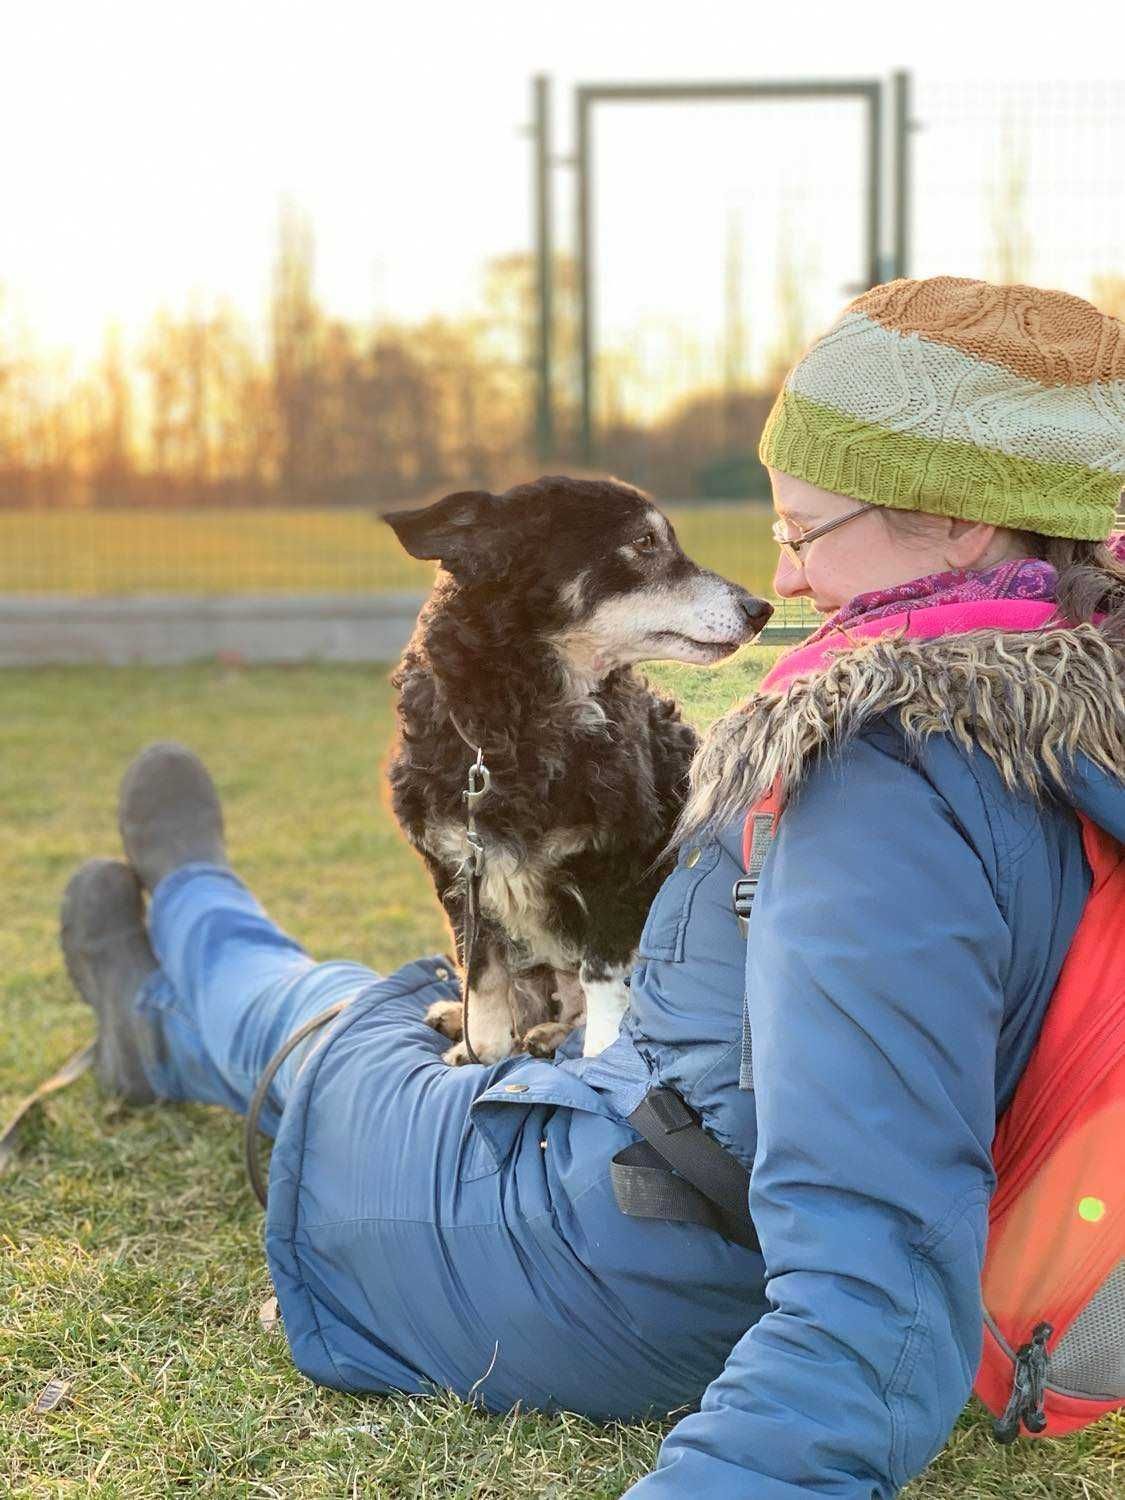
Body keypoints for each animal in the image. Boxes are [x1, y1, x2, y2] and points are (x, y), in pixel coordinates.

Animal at [384, 480, 774, 1068]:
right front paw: (482, 1048)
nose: (760, 608)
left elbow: (602, 976)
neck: (516, 731)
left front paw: (600, 1051)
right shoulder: (457, 874)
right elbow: (481, 972)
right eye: (644, 541)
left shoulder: (616, 869)